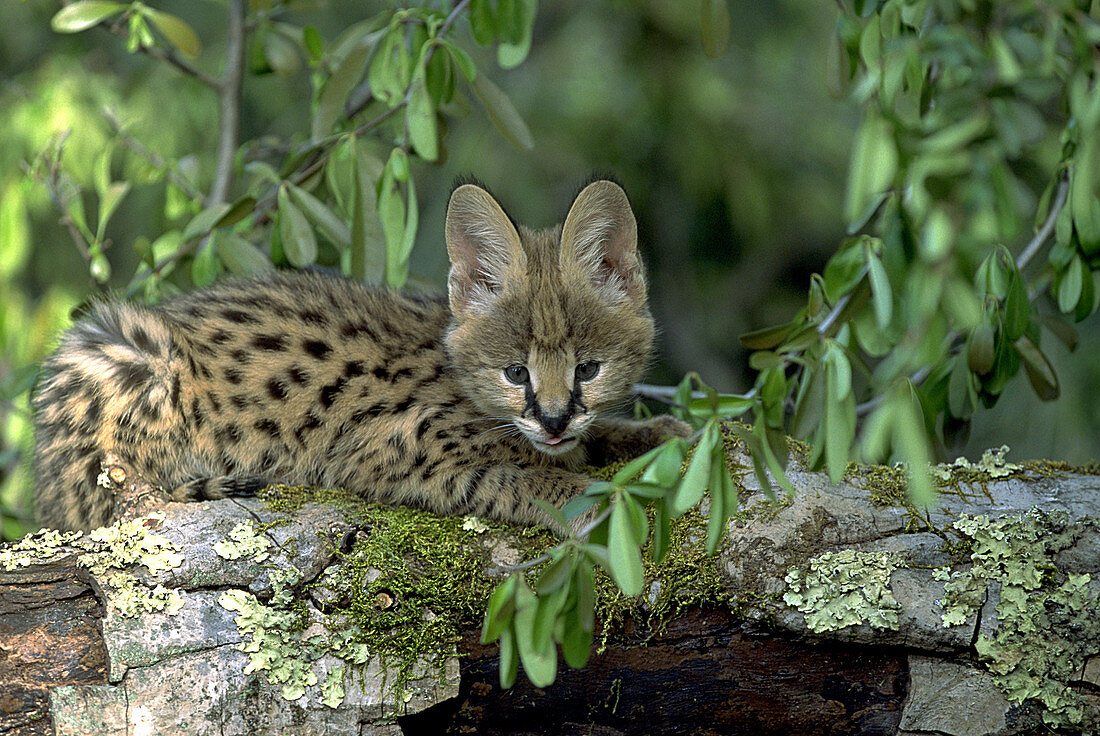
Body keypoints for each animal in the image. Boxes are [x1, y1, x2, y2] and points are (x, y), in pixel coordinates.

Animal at [32, 180, 686, 530]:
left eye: (588, 369)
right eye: (515, 372)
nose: (552, 420)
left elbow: (591, 438)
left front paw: (657, 433)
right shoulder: (386, 453)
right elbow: (519, 476)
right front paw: (586, 496)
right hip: (121, 347)